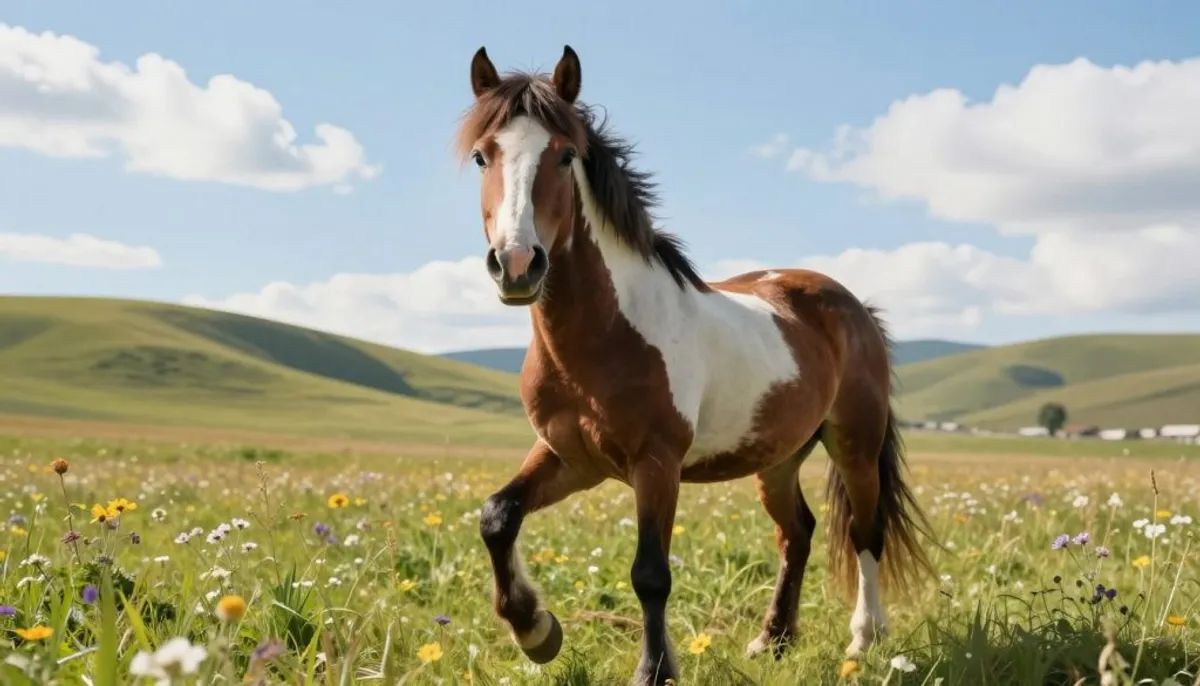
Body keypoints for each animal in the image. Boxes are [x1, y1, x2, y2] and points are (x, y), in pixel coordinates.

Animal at [456, 45, 936, 685]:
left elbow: (650, 573)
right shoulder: (571, 458)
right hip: (777, 458)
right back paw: (772, 641)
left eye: (564, 154)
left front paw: (654, 670)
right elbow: (497, 516)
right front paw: (537, 631)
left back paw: (863, 640)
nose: (516, 264)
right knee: (797, 533)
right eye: (483, 155)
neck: (603, 337)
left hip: (853, 444)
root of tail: (853, 307)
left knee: (866, 530)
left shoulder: (656, 463)